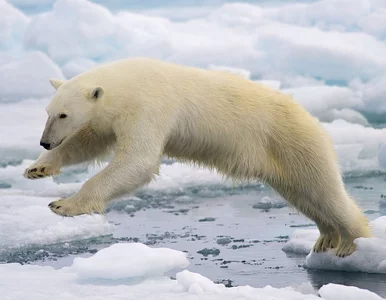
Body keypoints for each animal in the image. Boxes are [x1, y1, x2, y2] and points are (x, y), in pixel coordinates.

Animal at [24, 57, 370, 256]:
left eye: (64, 114)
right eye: (48, 112)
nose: (45, 142)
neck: (127, 83)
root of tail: (310, 118)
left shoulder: (149, 107)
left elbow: (138, 160)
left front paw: (63, 204)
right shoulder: (111, 118)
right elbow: (89, 142)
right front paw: (37, 169)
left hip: (293, 142)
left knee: (325, 191)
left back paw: (351, 242)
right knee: (303, 195)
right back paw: (326, 237)